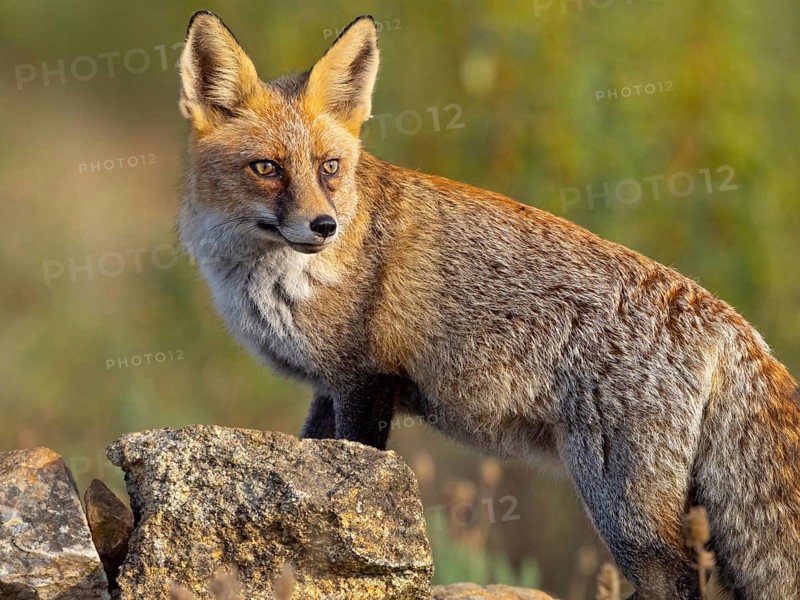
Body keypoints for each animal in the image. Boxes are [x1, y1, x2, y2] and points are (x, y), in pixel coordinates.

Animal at [176, 11, 800, 600]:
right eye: (267, 168)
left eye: (329, 167)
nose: (324, 226)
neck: (270, 282)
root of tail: (730, 321)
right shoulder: (329, 387)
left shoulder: (365, 380)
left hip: (621, 506)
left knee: (679, 581)